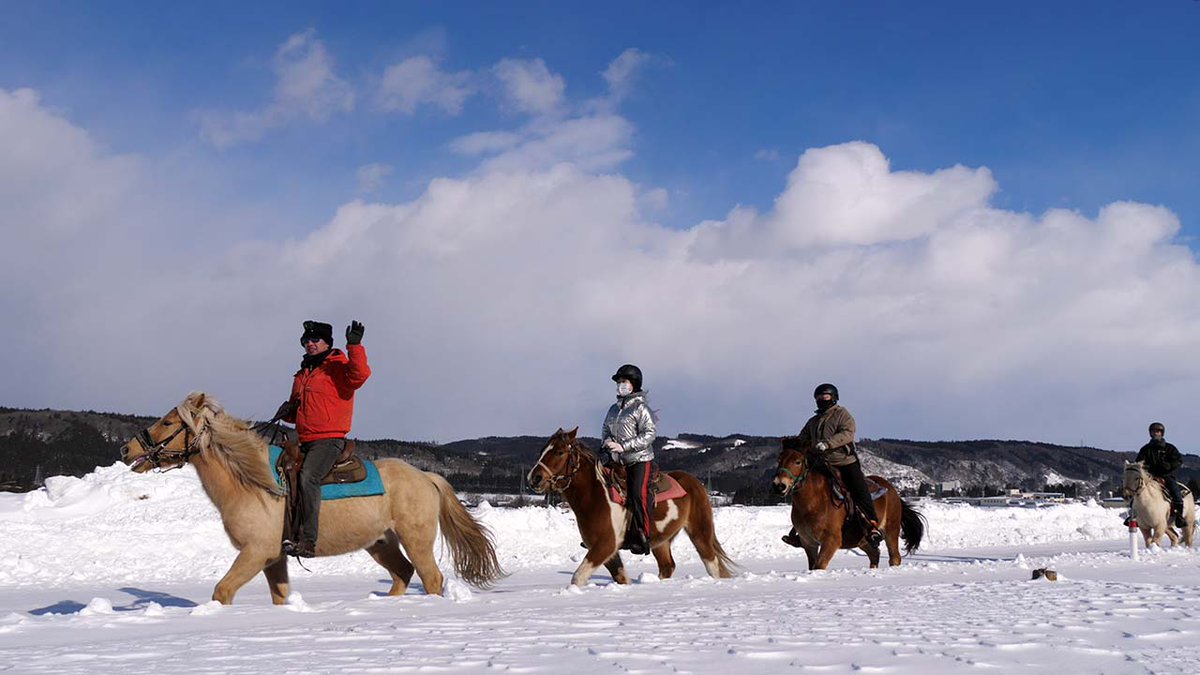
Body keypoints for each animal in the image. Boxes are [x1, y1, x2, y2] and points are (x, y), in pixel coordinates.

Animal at [117, 391, 501, 600]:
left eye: (168, 422)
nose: (126, 448)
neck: (251, 483)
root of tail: (426, 476)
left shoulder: (256, 551)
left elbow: (222, 591)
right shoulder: (273, 557)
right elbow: (279, 595)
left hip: (416, 538)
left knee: (431, 578)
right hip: (381, 542)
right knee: (404, 574)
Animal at [528, 425, 734, 583]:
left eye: (559, 452)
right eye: (542, 451)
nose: (534, 478)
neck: (595, 496)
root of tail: (694, 482)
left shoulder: (605, 545)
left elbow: (578, 577)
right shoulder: (607, 552)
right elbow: (621, 578)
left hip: (700, 532)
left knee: (712, 565)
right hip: (660, 542)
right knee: (667, 566)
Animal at [768, 444, 926, 569]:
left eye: (798, 461)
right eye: (779, 460)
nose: (779, 485)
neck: (813, 502)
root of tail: (893, 491)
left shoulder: (831, 541)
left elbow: (819, 565)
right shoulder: (809, 543)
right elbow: (813, 566)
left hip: (891, 530)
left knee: (894, 557)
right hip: (863, 540)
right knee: (874, 555)